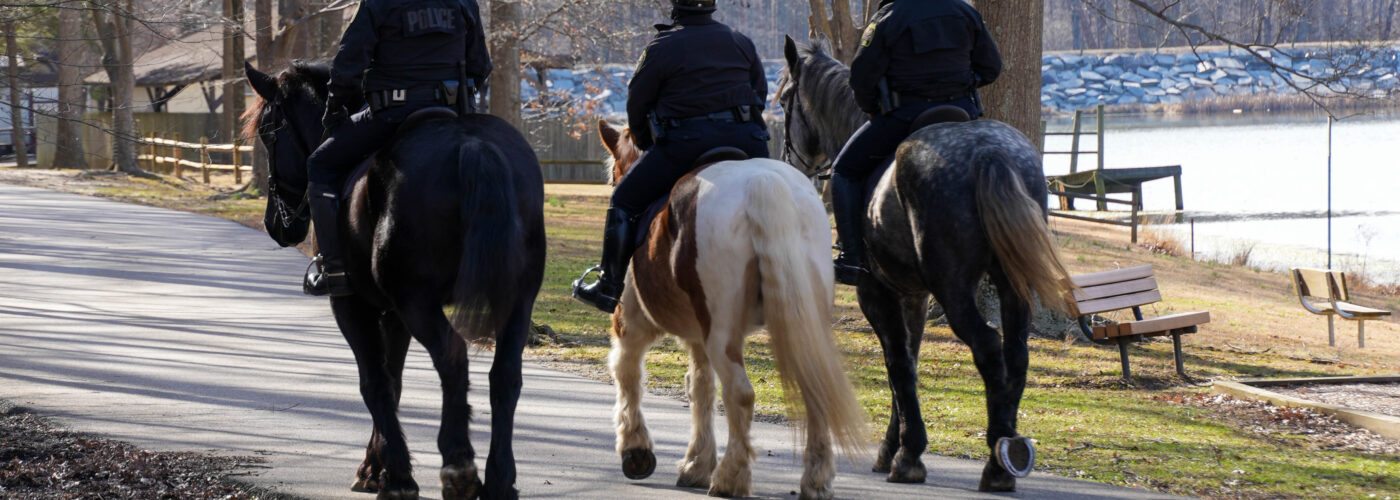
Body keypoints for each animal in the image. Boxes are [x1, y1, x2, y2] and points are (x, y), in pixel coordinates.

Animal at [243, 62, 543, 498]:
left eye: (269, 132)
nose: (275, 224)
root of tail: (472, 144)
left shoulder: (353, 306)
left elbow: (375, 382)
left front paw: (395, 474)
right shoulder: (395, 314)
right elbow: (395, 379)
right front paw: (377, 466)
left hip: (417, 301)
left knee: (453, 355)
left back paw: (458, 466)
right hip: (515, 300)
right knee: (504, 374)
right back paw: (500, 479)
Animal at [596, 121, 868, 498]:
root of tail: (763, 183)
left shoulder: (632, 325)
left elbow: (628, 373)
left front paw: (636, 450)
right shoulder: (698, 338)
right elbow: (700, 387)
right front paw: (696, 463)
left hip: (721, 333)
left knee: (740, 394)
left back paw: (731, 477)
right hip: (804, 326)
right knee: (815, 388)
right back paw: (815, 479)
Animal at [778, 38, 1069, 490]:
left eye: (783, 100)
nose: (787, 163)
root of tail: (988, 153)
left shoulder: (876, 292)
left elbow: (897, 365)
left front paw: (907, 454)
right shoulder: (912, 295)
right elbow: (909, 364)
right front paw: (893, 447)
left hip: (954, 289)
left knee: (988, 347)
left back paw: (997, 459)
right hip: (1012, 284)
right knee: (1016, 352)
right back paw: (1008, 451)